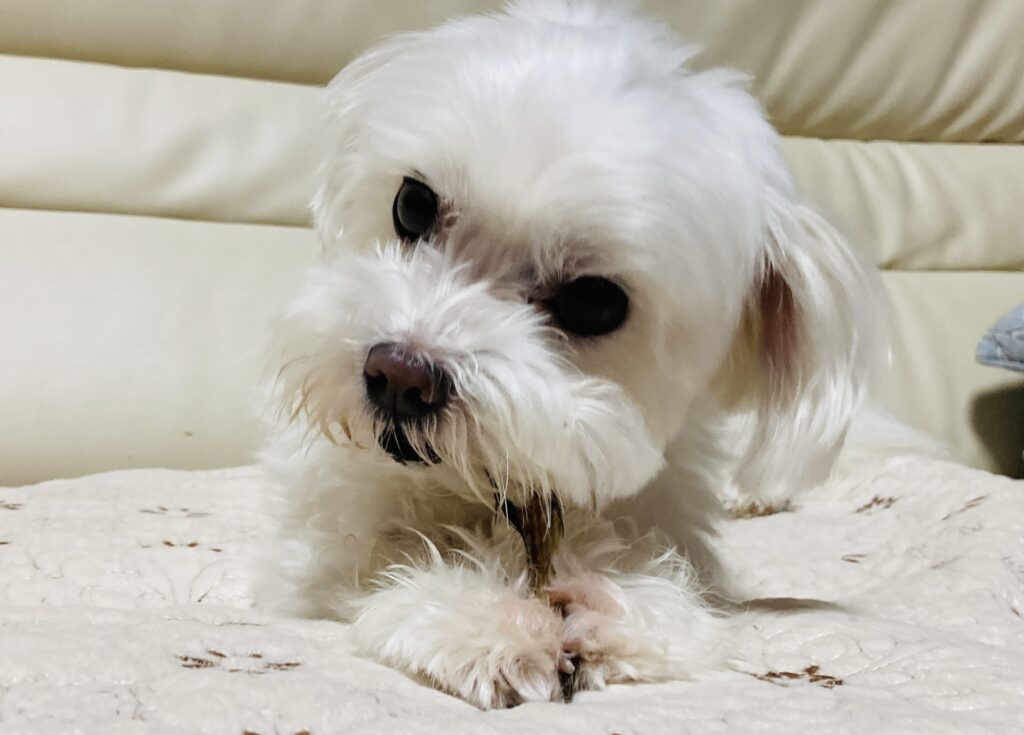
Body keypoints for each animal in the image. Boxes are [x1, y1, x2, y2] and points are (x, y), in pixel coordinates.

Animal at [260, 0, 881, 709]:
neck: (481, 490)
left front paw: (615, 596)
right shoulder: (315, 550)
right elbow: (367, 562)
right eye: (412, 204)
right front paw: (480, 614)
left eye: (594, 302)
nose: (399, 375)